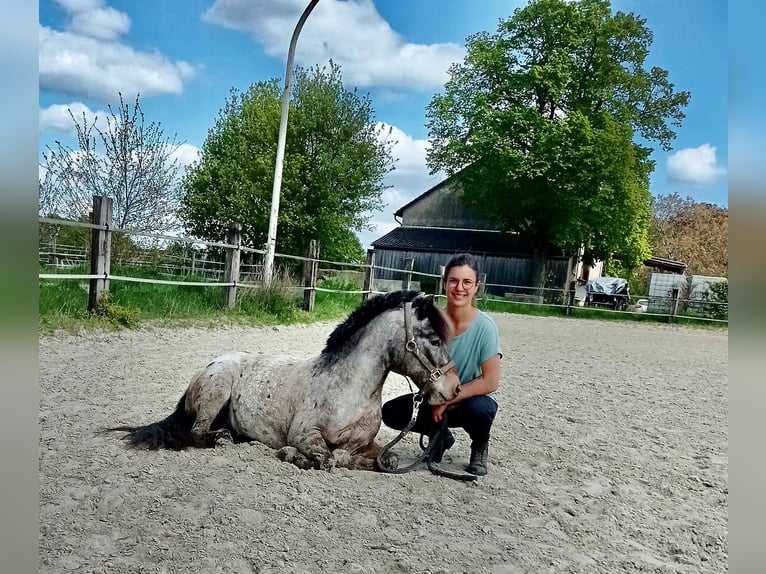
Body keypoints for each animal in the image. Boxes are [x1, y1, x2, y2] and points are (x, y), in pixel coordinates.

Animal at [107, 292, 456, 472]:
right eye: (435, 339)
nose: (453, 389)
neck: (348, 389)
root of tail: (207, 367)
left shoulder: (364, 442)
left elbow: (385, 457)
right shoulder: (306, 434)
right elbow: (327, 459)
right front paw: (292, 456)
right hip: (217, 391)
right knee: (197, 432)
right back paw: (223, 438)